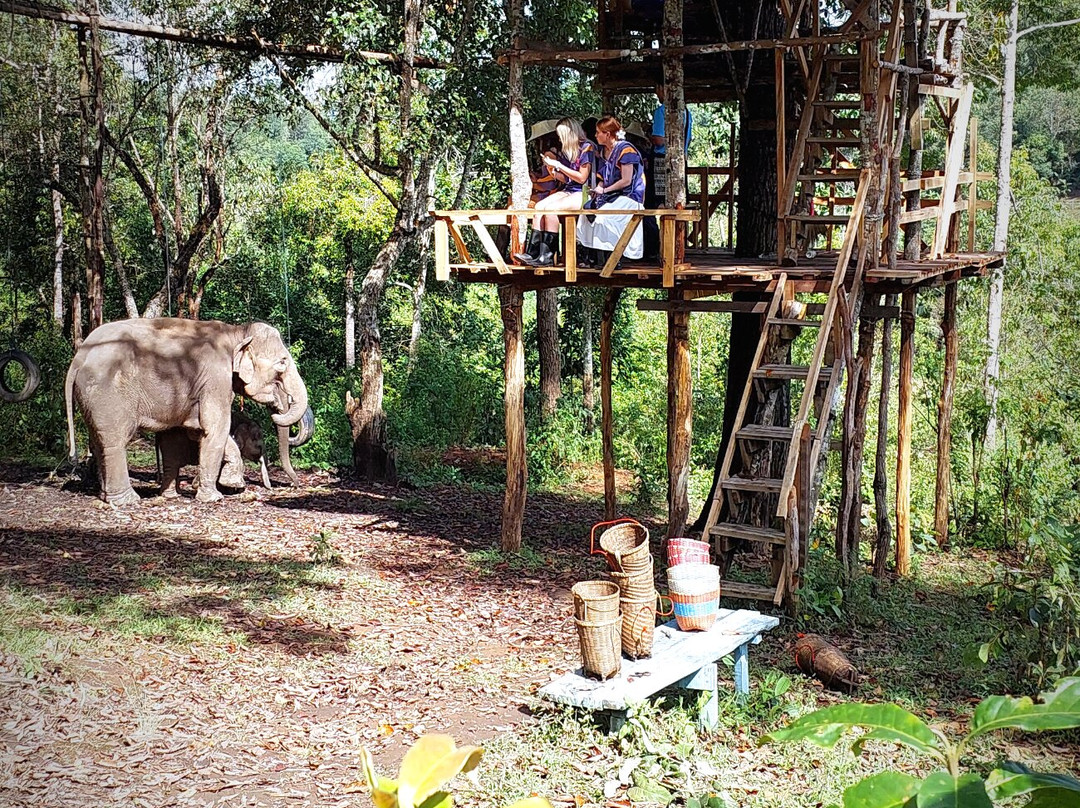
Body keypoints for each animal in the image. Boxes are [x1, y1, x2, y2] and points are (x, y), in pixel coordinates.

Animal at [65, 318, 310, 505]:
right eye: (282, 364)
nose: (295, 485)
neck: (236, 332)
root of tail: (78, 358)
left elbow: (182, 434)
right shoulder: (215, 379)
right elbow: (215, 428)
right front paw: (216, 496)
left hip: (92, 398)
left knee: (99, 440)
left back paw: (112, 496)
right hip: (108, 393)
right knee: (115, 441)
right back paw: (127, 501)